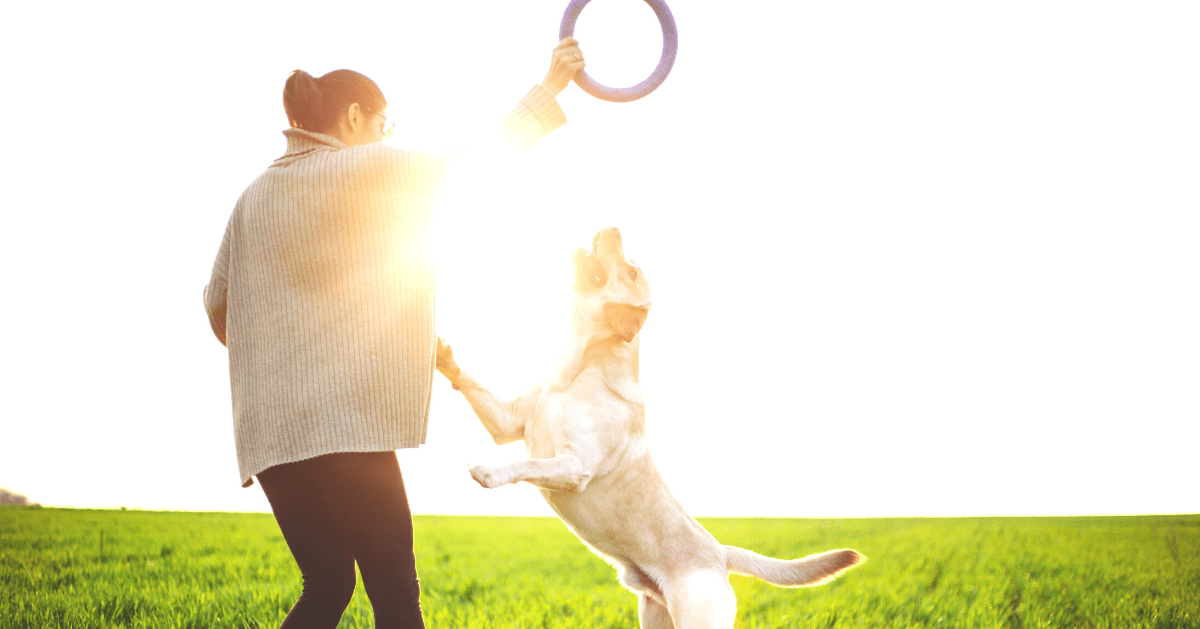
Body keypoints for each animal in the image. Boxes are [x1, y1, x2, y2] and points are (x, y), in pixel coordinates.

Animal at [436, 228, 868, 624]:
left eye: (630, 271)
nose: (613, 229)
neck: (577, 367)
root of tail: (719, 552)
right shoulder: (508, 422)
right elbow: (470, 384)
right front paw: (442, 356)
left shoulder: (576, 466)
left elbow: (528, 465)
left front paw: (489, 471)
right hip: (654, 615)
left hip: (699, 617)